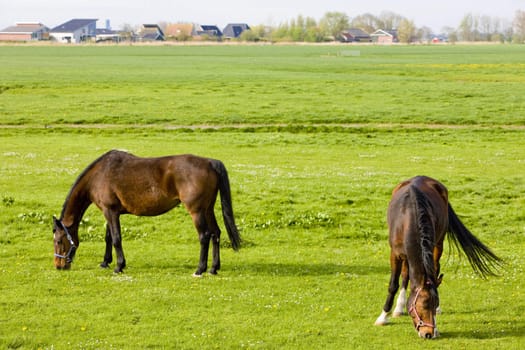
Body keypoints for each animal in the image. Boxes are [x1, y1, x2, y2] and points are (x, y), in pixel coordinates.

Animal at [53, 150, 242, 276]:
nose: (58, 265)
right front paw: (105, 262)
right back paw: (213, 268)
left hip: (196, 211)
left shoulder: (110, 212)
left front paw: (119, 266)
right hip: (208, 209)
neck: (99, 175)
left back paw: (200, 269)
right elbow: (108, 238)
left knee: (205, 236)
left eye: (59, 240)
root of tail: (209, 162)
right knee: (216, 233)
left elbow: (116, 239)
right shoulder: (110, 212)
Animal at [372, 176, 500, 338]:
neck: (408, 216)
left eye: (434, 304)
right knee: (406, 275)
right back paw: (399, 308)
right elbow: (393, 284)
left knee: (433, 269)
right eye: (423, 304)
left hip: (438, 244)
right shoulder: (394, 254)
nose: (429, 333)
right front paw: (383, 317)